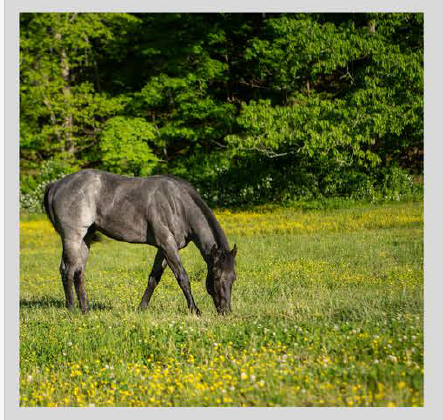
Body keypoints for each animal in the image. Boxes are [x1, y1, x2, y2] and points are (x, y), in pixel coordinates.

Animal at [44, 169, 239, 314]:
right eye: (216, 277)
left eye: (233, 278)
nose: (225, 311)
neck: (178, 204)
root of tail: (56, 185)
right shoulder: (168, 245)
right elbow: (182, 277)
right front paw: (194, 310)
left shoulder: (164, 248)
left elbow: (154, 278)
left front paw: (141, 308)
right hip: (73, 237)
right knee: (67, 271)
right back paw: (71, 309)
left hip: (85, 239)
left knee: (78, 272)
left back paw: (85, 309)